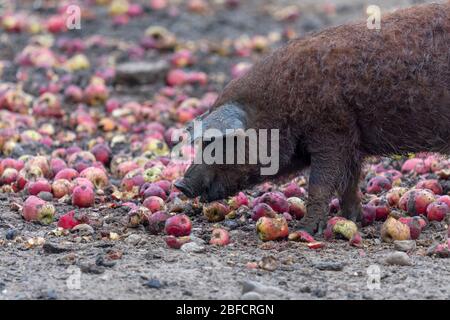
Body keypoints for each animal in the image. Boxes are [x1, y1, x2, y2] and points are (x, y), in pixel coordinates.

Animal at [174, 3, 450, 235]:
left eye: (218, 142)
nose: (181, 185)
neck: (281, 107)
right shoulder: (352, 145)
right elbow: (348, 184)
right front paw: (353, 220)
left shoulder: (332, 134)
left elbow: (319, 183)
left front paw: (305, 230)